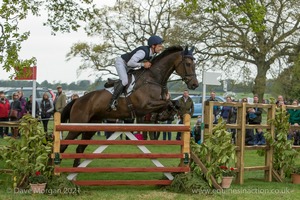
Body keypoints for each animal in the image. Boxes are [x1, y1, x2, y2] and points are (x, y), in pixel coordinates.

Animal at [60, 45, 199, 167]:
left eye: (194, 64)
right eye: (188, 64)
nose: (195, 85)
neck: (153, 78)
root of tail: (77, 100)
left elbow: (173, 103)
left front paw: (167, 114)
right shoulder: (144, 106)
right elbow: (167, 102)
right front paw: (166, 114)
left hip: (91, 127)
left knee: (79, 148)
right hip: (77, 126)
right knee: (63, 145)